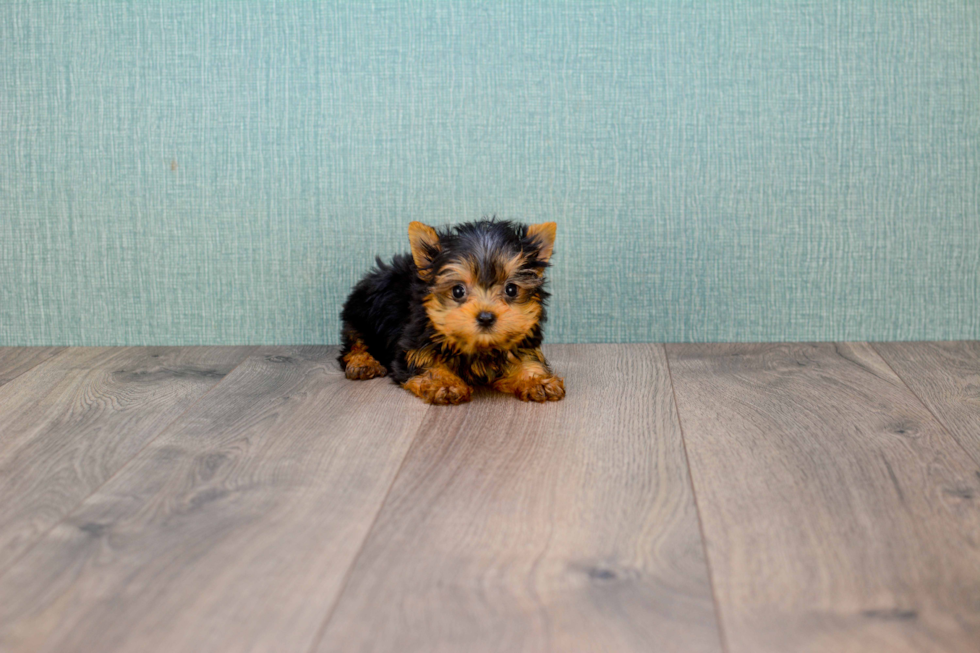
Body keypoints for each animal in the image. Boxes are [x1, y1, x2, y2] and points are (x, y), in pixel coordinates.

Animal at [338, 219, 564, 402]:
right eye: (458, 291)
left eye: (511, 289)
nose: (485, 317)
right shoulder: (414, 343)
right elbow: (426, 362)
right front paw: (443, 383)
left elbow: (527, 359)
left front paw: (537, 381)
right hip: (360, 314)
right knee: (355, 341)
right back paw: (362, 363)